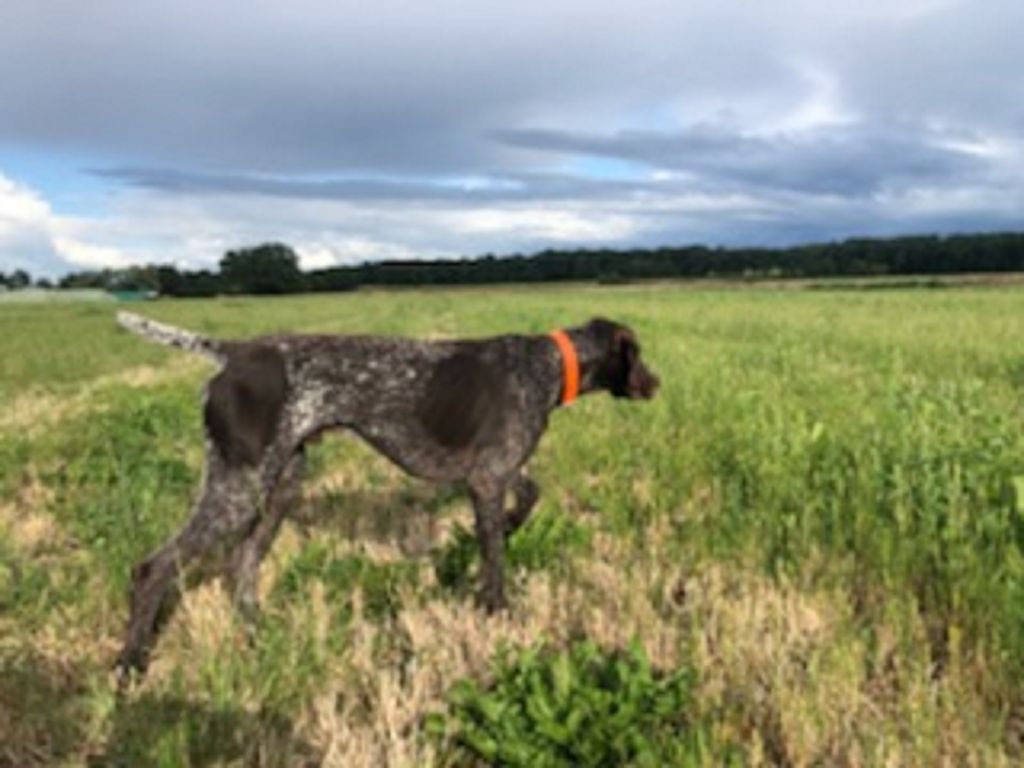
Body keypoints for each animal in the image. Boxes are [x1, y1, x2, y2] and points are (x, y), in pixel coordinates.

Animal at [112, 309, 655, 675]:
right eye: (639, 354)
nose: (657, 383)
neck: (547, 365)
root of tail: (233, 352)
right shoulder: (487, 477)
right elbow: (496, 564)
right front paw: (498, 613)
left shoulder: (493, 473)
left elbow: (529, 496)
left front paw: (507, 527)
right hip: (238, 486)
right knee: (154, 568)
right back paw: (131, 662)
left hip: (280, 483)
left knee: (241, 564)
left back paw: (258, 631)